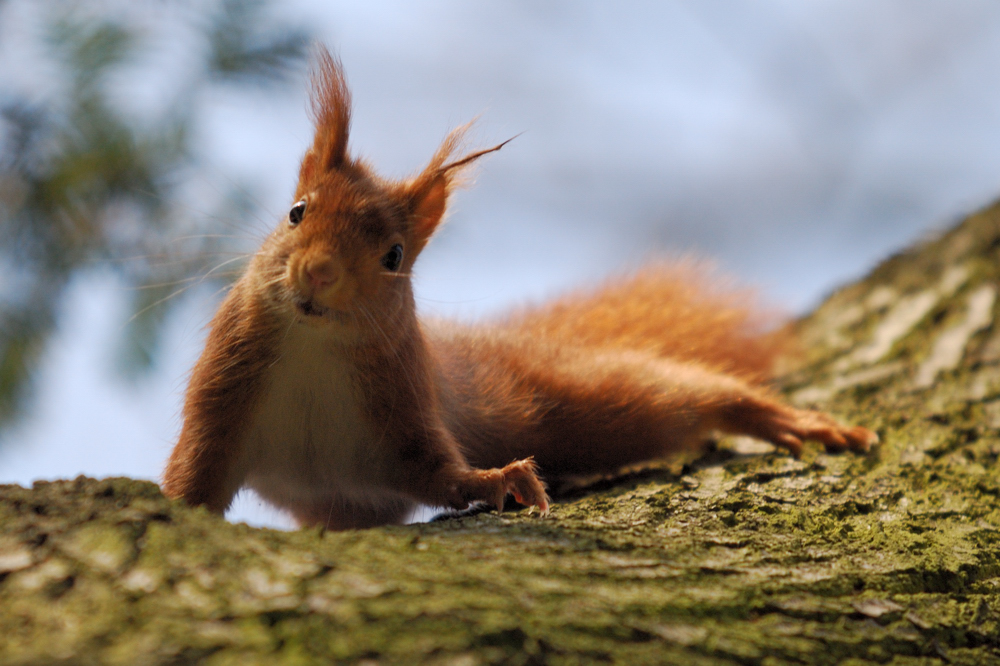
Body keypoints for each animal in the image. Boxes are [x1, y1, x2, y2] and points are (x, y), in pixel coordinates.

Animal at [162, 49, 876, 528]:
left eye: (394, 256)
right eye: (296, 211)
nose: (319, 274)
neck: (314, 348)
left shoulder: (404, 411)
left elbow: (440, 472)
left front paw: (499, 475)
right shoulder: (222, 400)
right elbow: (191, 480)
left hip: (574, 400)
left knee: (679, 395)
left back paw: (784, 419)